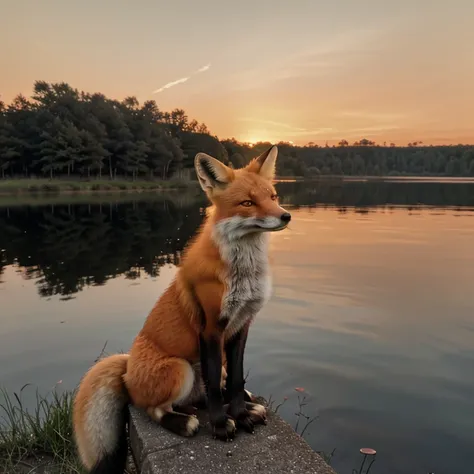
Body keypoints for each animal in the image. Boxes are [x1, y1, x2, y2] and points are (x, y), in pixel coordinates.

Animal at [72, 145, 290, 474]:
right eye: (248, 203)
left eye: (273, 196)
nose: (286, 215)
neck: (244, 276)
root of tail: (128, 368)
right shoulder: (211, 328)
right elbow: (216, 389)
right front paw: (222, 426)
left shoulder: (241, 326)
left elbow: (236, 379)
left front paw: (240, 414)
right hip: (181, 368)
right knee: (154, 409)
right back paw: (185, 422)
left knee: (205, 394)